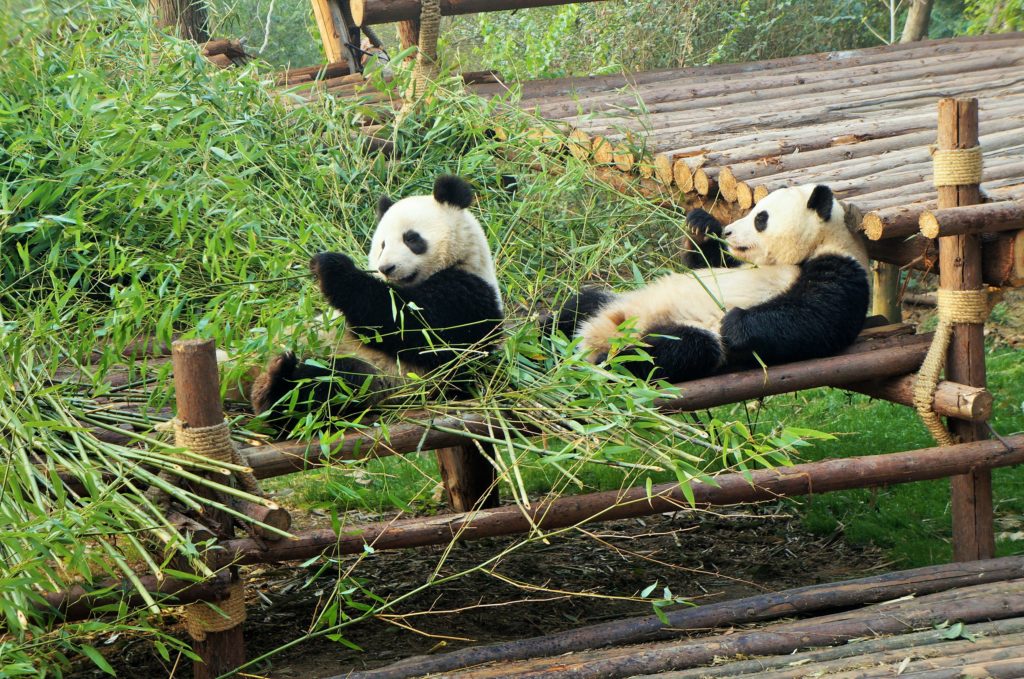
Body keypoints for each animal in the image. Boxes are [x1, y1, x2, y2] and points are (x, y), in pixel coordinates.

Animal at [248, 176, 503, 430]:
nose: (386, 268)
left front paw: (330, 266)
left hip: (382, 376)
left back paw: (273, 386)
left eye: (411, 238)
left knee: (330, 384)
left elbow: (407, 324)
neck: (462, 260)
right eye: (382, 245)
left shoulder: (467, 297)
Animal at [552, 183, 872, 383]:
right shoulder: (737, 264)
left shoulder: (842, 267)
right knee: (575, 308)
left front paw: (736, 322)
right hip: (616, 300)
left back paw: (602, 361)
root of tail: (598, 336)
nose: (728, 231)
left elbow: (814, 318)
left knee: (672, 351)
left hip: (687, 334)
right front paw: (701, 226)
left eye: (760, 218)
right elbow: (708, 265)